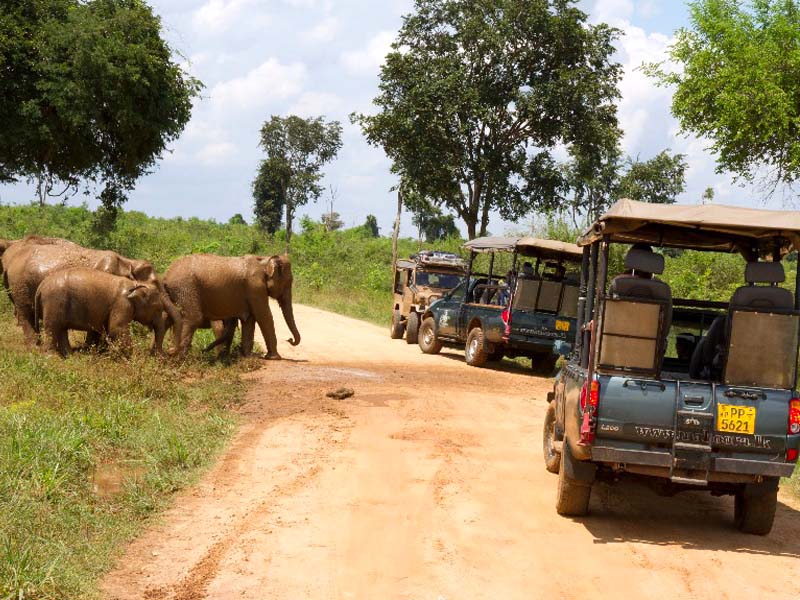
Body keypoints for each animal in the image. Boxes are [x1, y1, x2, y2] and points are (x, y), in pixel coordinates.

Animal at [2, 240, 180, 346]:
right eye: (155, 283)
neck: (127, 261)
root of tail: (9, 262)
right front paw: (93, 349)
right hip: (20, 286)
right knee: (26, 315)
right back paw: (34, 349)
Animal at [162, 252, 300, 356]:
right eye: (289, 281)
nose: (290, 340)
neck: (265, 259)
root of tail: (166, 275)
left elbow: (249, 319)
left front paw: (247, 356)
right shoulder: (255, 288)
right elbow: (264, 316)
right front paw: (274, 357)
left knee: (167, 318)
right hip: (185, 288)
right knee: (192, 318)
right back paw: (180, 359)